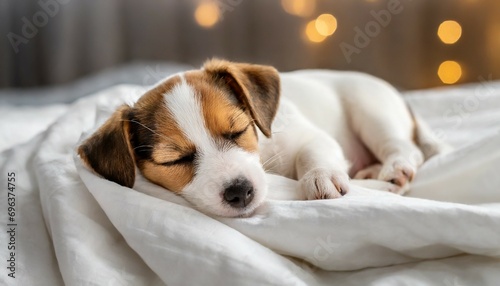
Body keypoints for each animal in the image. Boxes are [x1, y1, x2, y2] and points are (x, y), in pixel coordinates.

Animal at [79, 59, 446, 218]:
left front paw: (321, 176)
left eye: (237, 130)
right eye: (176, 160)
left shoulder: (310, 136)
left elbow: (314, 153)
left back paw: (393, 168)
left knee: (406, 148)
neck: (264, 148)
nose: (240, 192)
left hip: (372, 110)